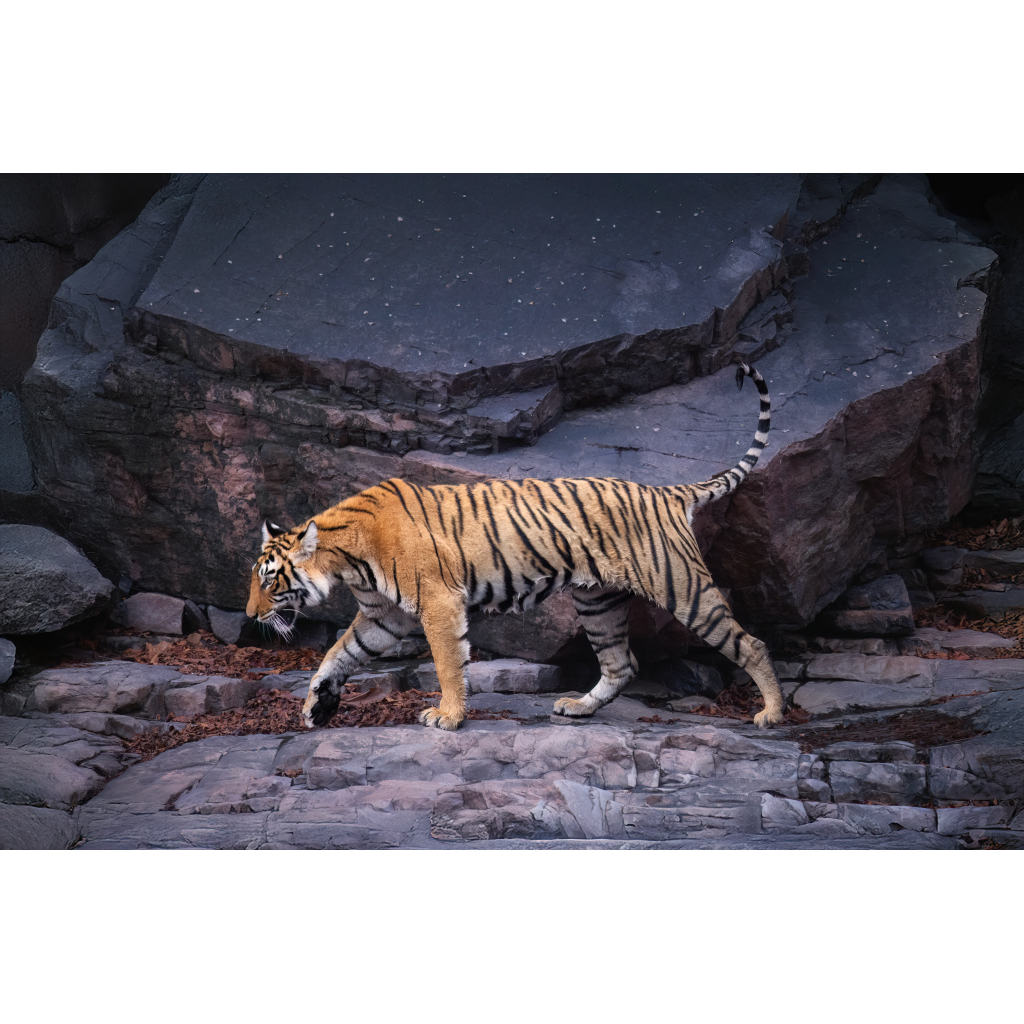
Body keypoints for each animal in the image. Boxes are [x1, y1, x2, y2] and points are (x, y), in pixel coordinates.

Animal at [246, 360, 785, 732]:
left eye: (271, 582)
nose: (251, 616)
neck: (346, 559)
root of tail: (667, 492)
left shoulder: (437, 603)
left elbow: (447, 662)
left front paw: (448, 716)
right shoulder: (385, 615)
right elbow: (338, 653)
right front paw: (316, 705)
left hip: (682, 587)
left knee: (752, 643)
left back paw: (772, 714)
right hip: (599, 601)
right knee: (621, 663)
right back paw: (577, 708)